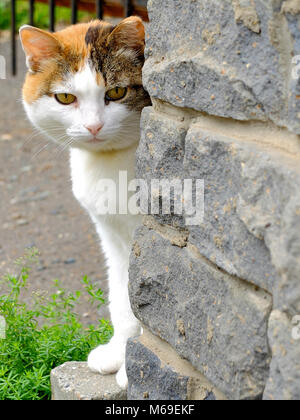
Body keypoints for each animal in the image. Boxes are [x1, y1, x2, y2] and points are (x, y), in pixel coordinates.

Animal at [19, 17, 150, 390]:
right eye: (65, 98)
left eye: (116, 93)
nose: (93, 126)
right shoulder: (113, 238)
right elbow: (123, 298)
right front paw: (119, 352)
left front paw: (132, 372)